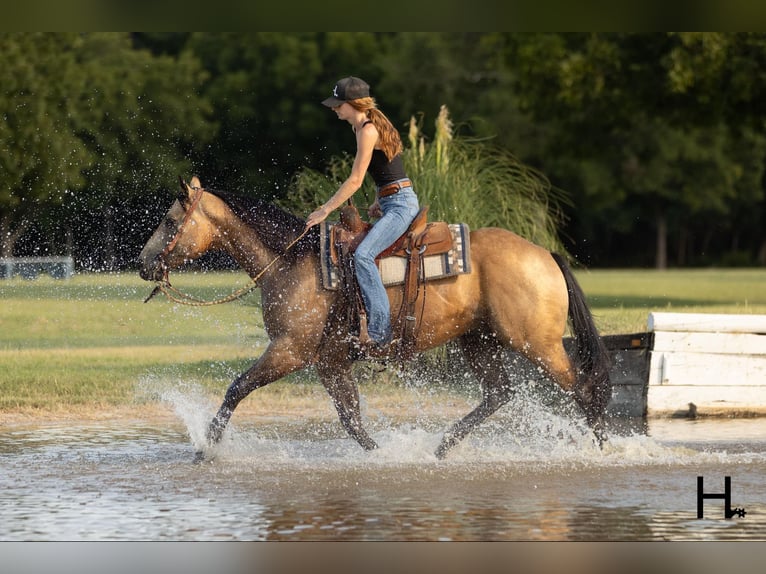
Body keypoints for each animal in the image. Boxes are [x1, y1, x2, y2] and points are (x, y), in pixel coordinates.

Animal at [139, 176, 612, 460]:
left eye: (170, 221)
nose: (143, 264)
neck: (291, 260)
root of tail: (545, 255)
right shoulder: (330, 362)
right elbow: (351, 419)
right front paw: (381, 454)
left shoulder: (290, 351)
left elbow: (237, 389)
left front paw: (206, 449)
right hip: (480, 341)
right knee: (499, 394)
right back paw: (440, 449)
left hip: (536, 344)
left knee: (584, 389)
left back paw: (601, 448)